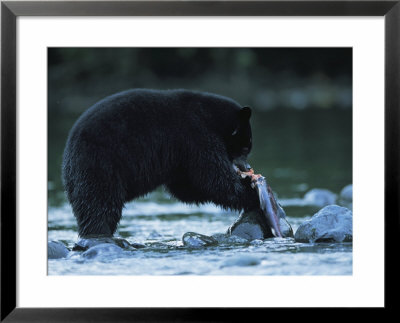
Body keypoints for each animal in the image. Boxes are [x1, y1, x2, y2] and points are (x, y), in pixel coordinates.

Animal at [61, 89, 258, 238]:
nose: (248, 168)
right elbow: (211, 177)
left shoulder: (180, 158)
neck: (210, 117)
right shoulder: (196, 136)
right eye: (246, 146)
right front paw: (250, 192)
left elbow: (188, 187)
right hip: (101, 165)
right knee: (100, 204)